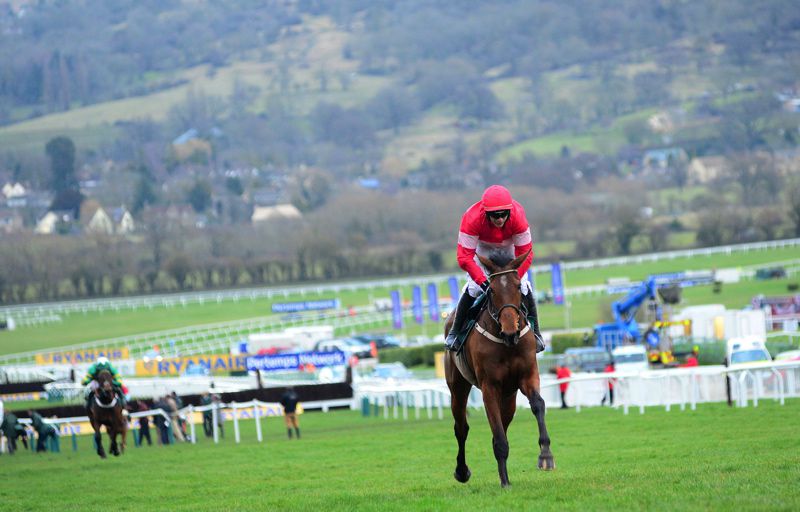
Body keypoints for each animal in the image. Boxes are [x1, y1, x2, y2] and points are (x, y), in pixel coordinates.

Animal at [440, 249, 552, 488]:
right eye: (491, 290)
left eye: (518, 287)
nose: (510, 331)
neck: (506, 343)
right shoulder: (489, 386)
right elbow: (497, 436)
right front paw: (505, 482)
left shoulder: (527, 376)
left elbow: (538, 404)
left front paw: (546, 455)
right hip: (458, 387)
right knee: (461, 427)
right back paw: (462, 471)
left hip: (509, 395)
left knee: (503, 422)